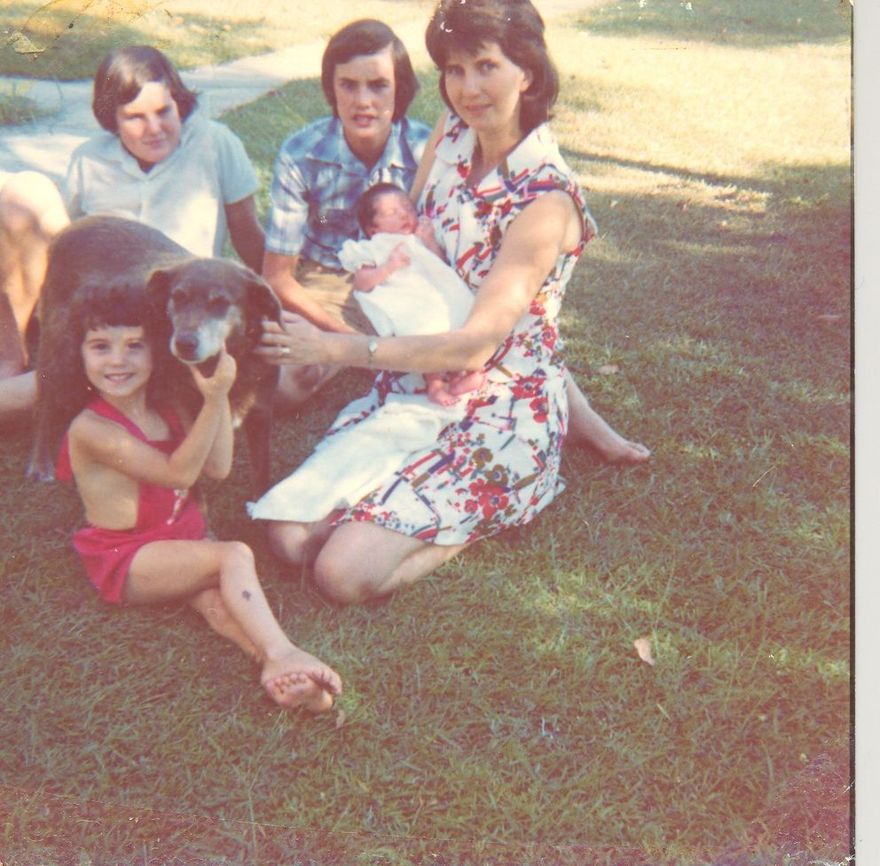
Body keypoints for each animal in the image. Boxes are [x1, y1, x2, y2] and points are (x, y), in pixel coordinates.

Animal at [30, 215, 282, 495]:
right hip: (61, 358)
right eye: (178, 297)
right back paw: (40, 461)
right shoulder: (189, 431)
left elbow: (262, 478)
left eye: (220, 303)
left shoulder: (260, 416)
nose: (184, 344)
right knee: (44, 406)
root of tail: (72, 228)